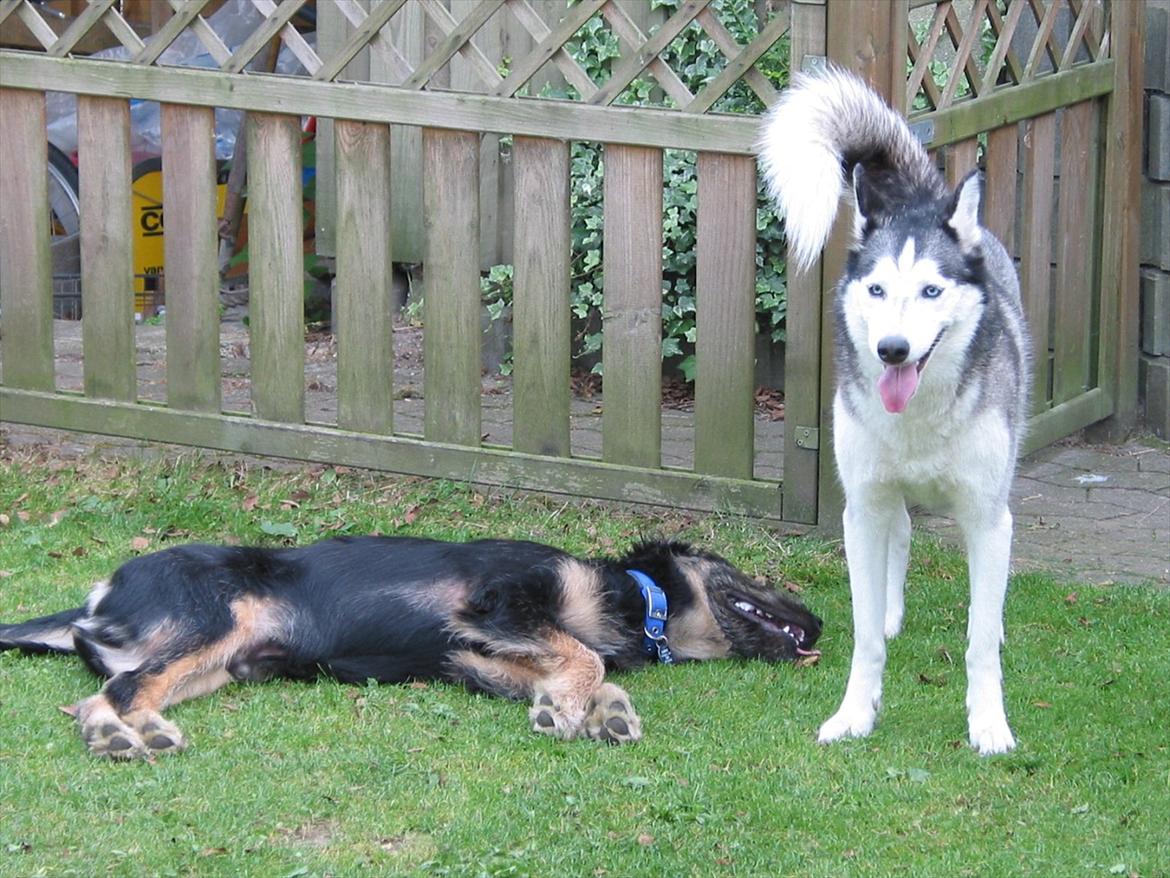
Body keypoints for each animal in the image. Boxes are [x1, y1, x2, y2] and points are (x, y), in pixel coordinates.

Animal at [758, 67, 1024, 758]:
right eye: (877, 289)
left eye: (931, 290)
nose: (893, 349)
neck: (920, 418)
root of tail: (921, 198)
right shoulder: (863, 506)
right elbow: (865, 636)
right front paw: (856, 714)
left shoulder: (987, 514)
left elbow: (979, 642)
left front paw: (988, 723)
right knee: (900, 532)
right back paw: (891, 609)